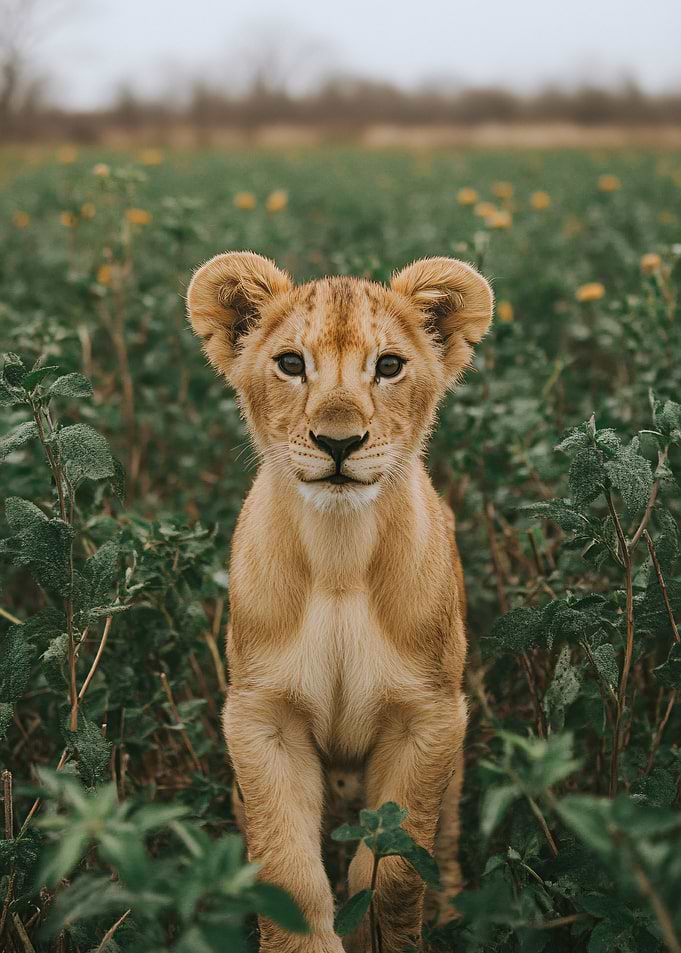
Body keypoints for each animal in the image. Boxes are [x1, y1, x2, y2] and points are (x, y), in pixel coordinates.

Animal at [187, 252, 493, 953]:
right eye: (291, 363)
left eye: (389, 366)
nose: (338, 442)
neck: (338, 555)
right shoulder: (262, 719)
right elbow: (287, 874)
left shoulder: (429, 718)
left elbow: (397, 872)